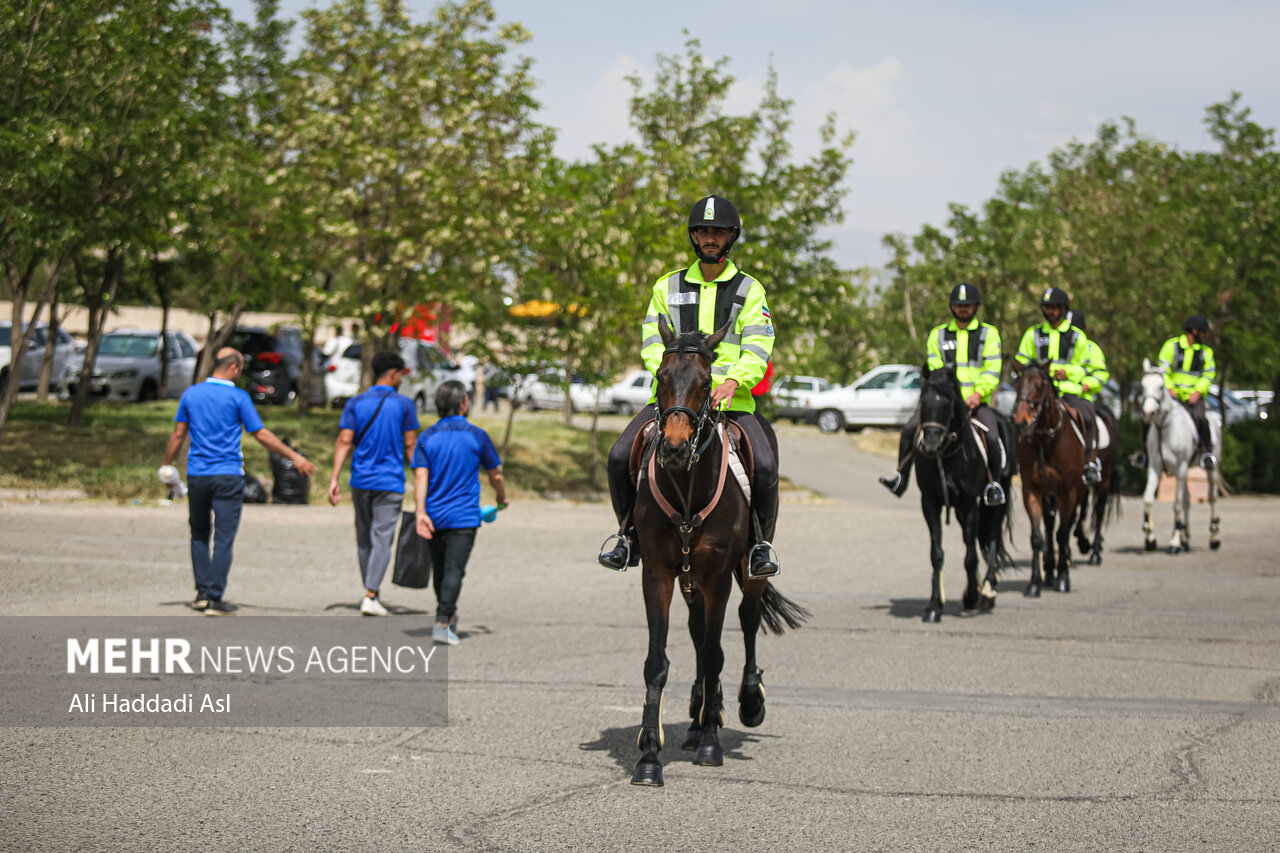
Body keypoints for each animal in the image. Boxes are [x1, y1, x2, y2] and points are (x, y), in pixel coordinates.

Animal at [632, 317, 808, 783]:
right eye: (660, 377)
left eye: (707, 380)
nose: (674, 448)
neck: (687, 488)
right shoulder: (657, 574)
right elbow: (658, 661)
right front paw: (649, 755)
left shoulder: (717, 577)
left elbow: (715, 655)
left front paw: (712, 742)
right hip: (689, 580)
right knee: (697, 632)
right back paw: (696, 720)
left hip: (744, 571)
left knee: (747, 622)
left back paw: (746, 704)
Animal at [916, 363, 1013, 617]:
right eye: (923, 400)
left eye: (948, 402)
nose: (930, 445)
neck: (949, 455)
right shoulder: (930, 503)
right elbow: (937, 553)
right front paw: (935, 604)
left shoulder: (969, 503)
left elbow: (970, 556)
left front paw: (972, 596)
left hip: (997, 497)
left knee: (991, 536)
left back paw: (987, 591)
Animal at [1008, 361, 1090, 594]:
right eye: (1017, 384)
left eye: (1039, 386)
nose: (1021, 423)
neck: (1047, 441)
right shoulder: (1032, 491)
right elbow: (1038, 537)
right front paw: (1035, 581)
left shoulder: (1068, 493)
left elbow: (1063, 534)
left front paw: (1063, 577)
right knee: (1050, 525)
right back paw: (1049, 571)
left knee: (1067, 526)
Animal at [1141, 356, 1218, 550]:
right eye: (1142, 386)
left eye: (1161, 387)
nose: (1148, 412)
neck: (1164, 428)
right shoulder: (1155, 468)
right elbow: (1148, 499)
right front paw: (1150, 537)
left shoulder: (1181, 468)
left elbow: (1176, 504)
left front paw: (1174, 540)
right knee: (1187, 499)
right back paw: (1185, 536)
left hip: (1211, 468)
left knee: (1212, 498)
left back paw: (1214, 537)